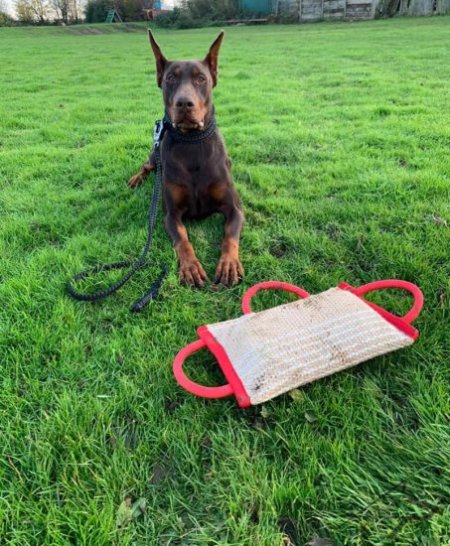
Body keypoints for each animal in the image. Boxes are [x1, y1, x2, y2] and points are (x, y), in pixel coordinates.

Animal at [128, 29, 244, 286]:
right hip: (154, 154)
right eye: (170, 78)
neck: (192, 142)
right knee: (146, 165)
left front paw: (229, 264)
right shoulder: (171, 214)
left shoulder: (235, 208)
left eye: (201, 78)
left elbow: (230, 235)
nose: (184, 103)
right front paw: (190, 266)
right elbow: (182, 239)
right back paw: (136, 179)